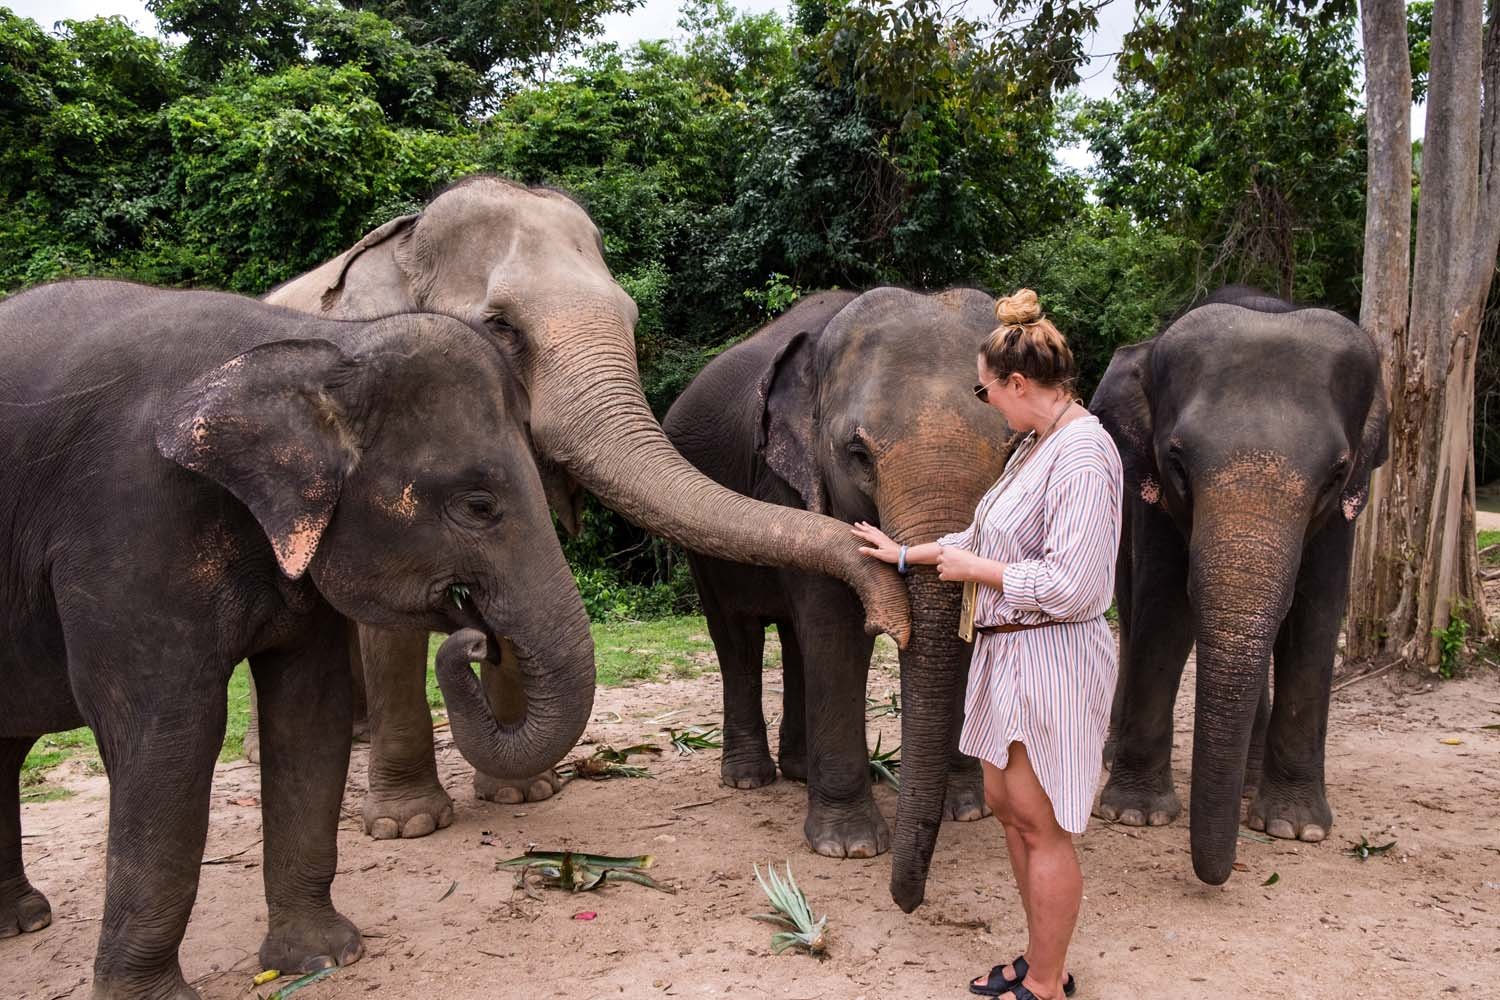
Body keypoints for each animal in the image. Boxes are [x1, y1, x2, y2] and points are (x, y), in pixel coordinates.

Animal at [0, 281, 589, 997]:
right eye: (478, 505)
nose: (478, 641)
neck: (319, 347)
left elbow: (311, 712)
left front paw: (322, 959)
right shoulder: (126, 524)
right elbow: (168, 733)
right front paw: (153, 998)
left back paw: (21, 922)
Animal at [253, 175, 911, 839]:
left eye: (632, 317)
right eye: (501, 325)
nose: (473, 644)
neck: (406, 242)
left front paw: (523, 794)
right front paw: (408, 826)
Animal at [663, 286, 1011, 912]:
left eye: (1010, 448)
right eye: (857, 453)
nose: (907, 901)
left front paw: (969, 810)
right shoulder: (790, 485)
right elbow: (836, 629)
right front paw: (849, 848)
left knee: (793, 640)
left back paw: (800, 772)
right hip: (700, 540)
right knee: (738, 637)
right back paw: (749, 779)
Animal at [1089, 285, 1388, 885]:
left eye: (1335, 475)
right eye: (1178, 462)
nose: (1219, 875)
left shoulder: (1345, 511)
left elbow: (1315, 619)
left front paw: (1295, 827)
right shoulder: (1150, 491)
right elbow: (1164, 609)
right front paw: (1134, 814)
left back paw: (1250, 783)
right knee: (1130, 610)